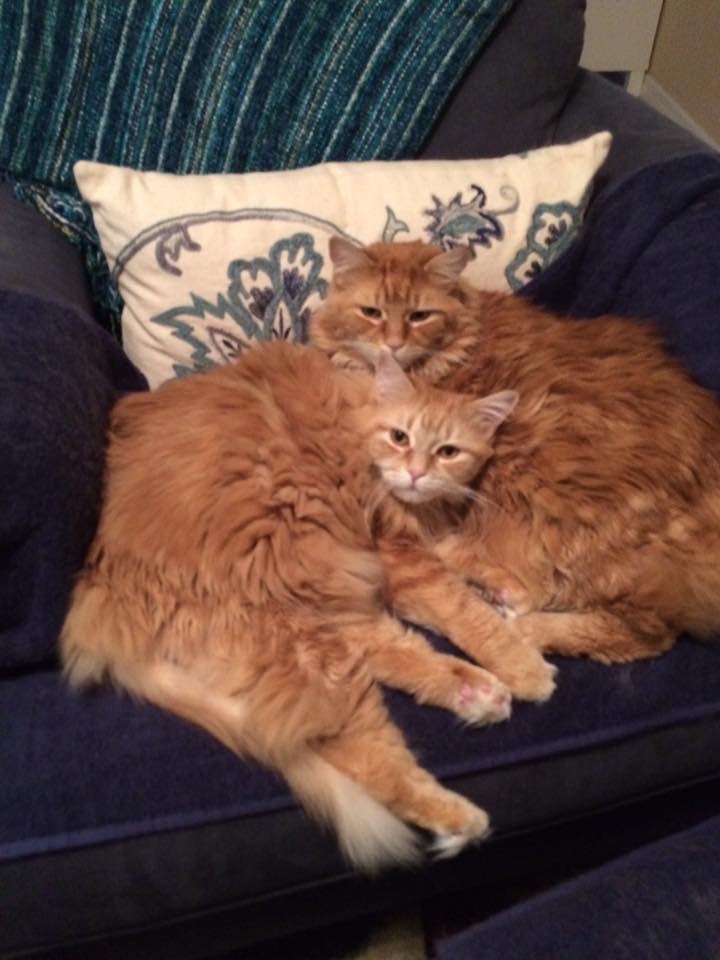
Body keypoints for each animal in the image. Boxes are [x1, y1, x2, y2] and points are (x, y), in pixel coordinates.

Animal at [60, 340, 527, 873]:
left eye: (448, 451)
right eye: (399, 437)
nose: (416, 473)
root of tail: (100, 590)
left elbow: (466, 558)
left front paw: (511, 590)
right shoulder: (397, 558)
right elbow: (465, 611)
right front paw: (530, 668)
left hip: (318, 614)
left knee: (395, 655)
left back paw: (478, 693)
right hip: (300, 637)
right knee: (366, 748)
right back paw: (460, 815)